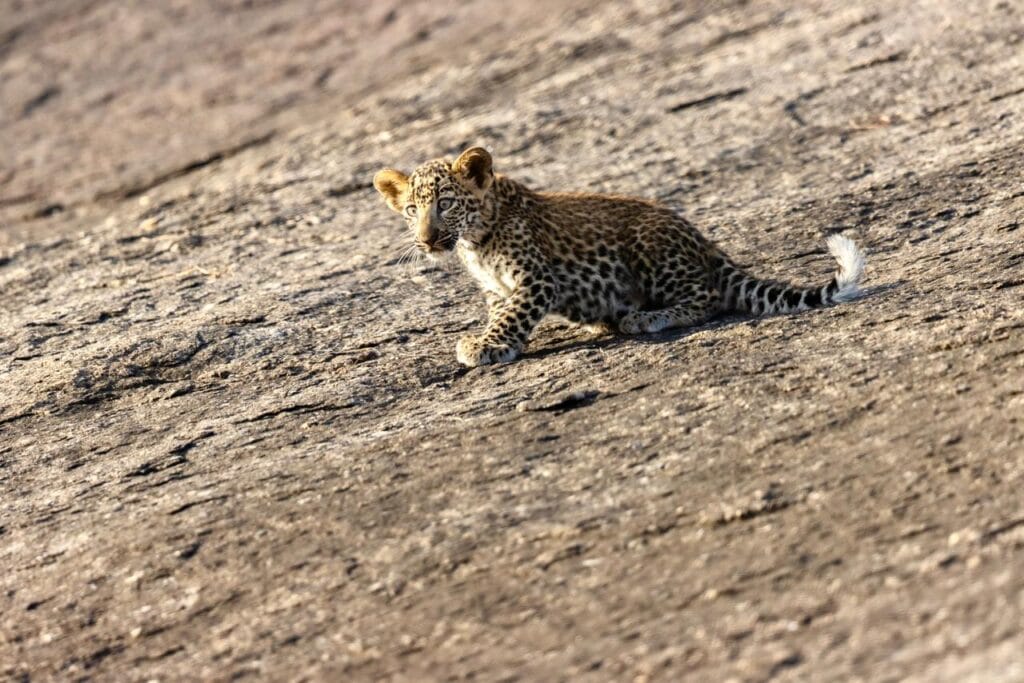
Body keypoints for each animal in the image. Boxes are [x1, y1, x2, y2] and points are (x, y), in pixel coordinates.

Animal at [373, 146, 865, 367]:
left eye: (446, 204)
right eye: (412, 209)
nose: (427, 240)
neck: (476, 239)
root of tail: (707, 243)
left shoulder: (536, 279)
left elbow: (514, 314)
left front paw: (487, 346)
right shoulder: (499, 289)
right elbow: (503, 312)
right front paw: (494, 340)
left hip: (650, 246)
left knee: (707, 297)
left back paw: (643, 318)